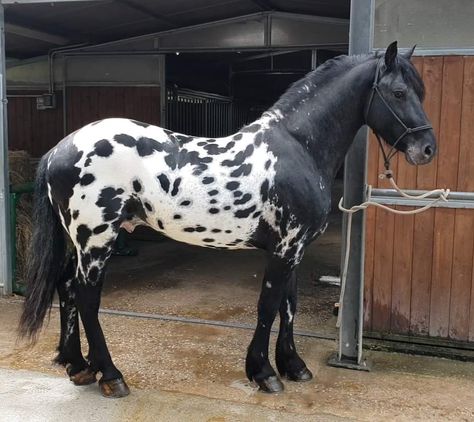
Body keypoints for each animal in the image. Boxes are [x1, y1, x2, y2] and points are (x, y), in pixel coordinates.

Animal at [18, 42, 436, 396]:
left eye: (421, 92)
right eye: (399, 92)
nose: (428, 148)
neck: (298, 148)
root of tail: (60, 149)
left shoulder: (295, 248)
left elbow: (289, 305)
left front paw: (294, 366)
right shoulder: (284, 248)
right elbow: (268, 305)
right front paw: (264, 373)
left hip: (79, 241)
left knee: (66, 288)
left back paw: (77, 366)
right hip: (97, 239)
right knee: (86, 296)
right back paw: (110, 375)